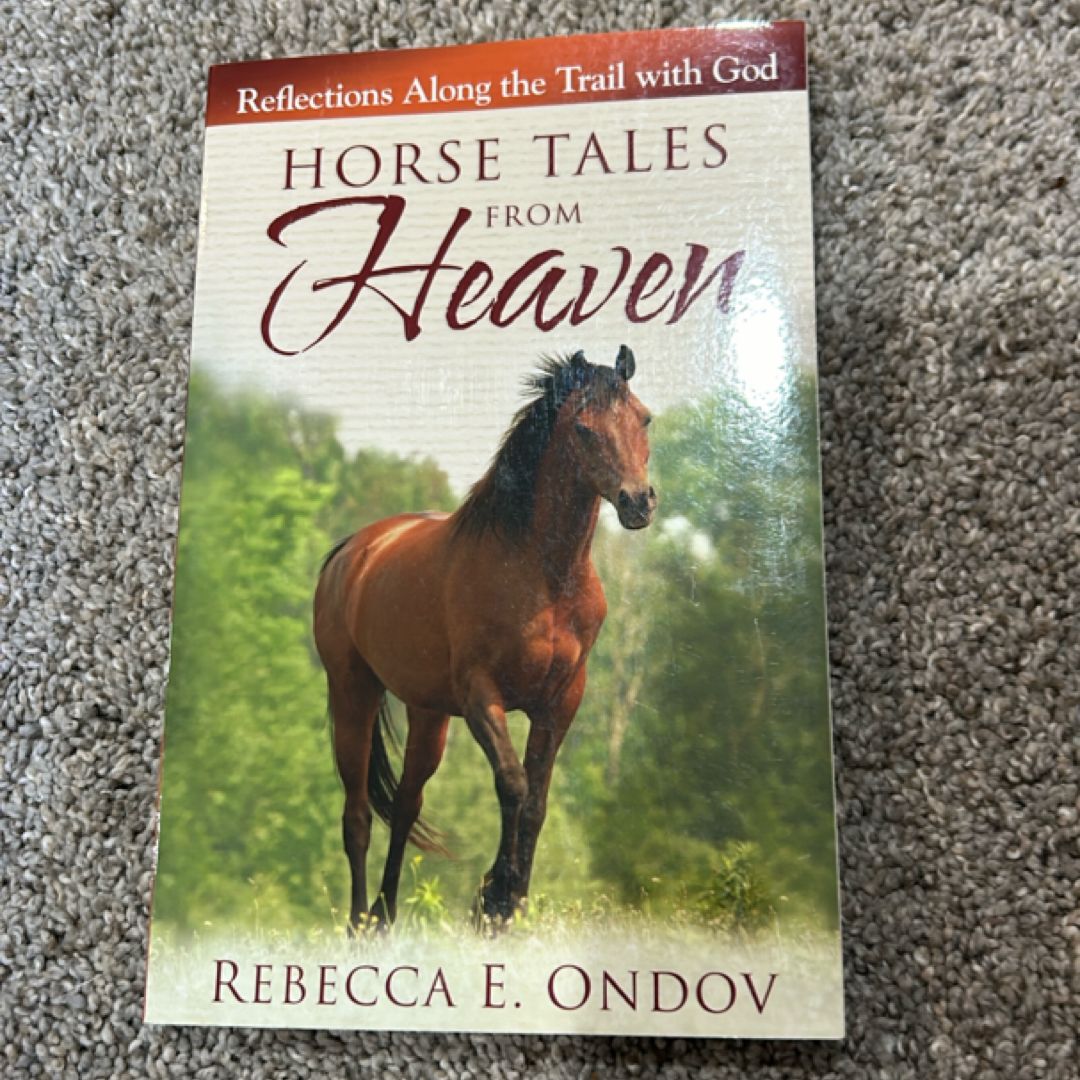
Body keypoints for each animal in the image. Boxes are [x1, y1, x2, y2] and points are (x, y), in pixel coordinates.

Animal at [313, 345, 656, 931]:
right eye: (584, 428)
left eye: (645, 419)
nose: (638, 502)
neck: (542, 575)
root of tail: (351, 551)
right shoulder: (481, 697)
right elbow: (512, 784)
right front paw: (493, 899)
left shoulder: (561, 701)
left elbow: (537, 801)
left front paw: (512, 902)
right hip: (354, 693)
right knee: (357, 814)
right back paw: (360, 922)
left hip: (428, 715)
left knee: (405, 806)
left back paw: (386, 915)